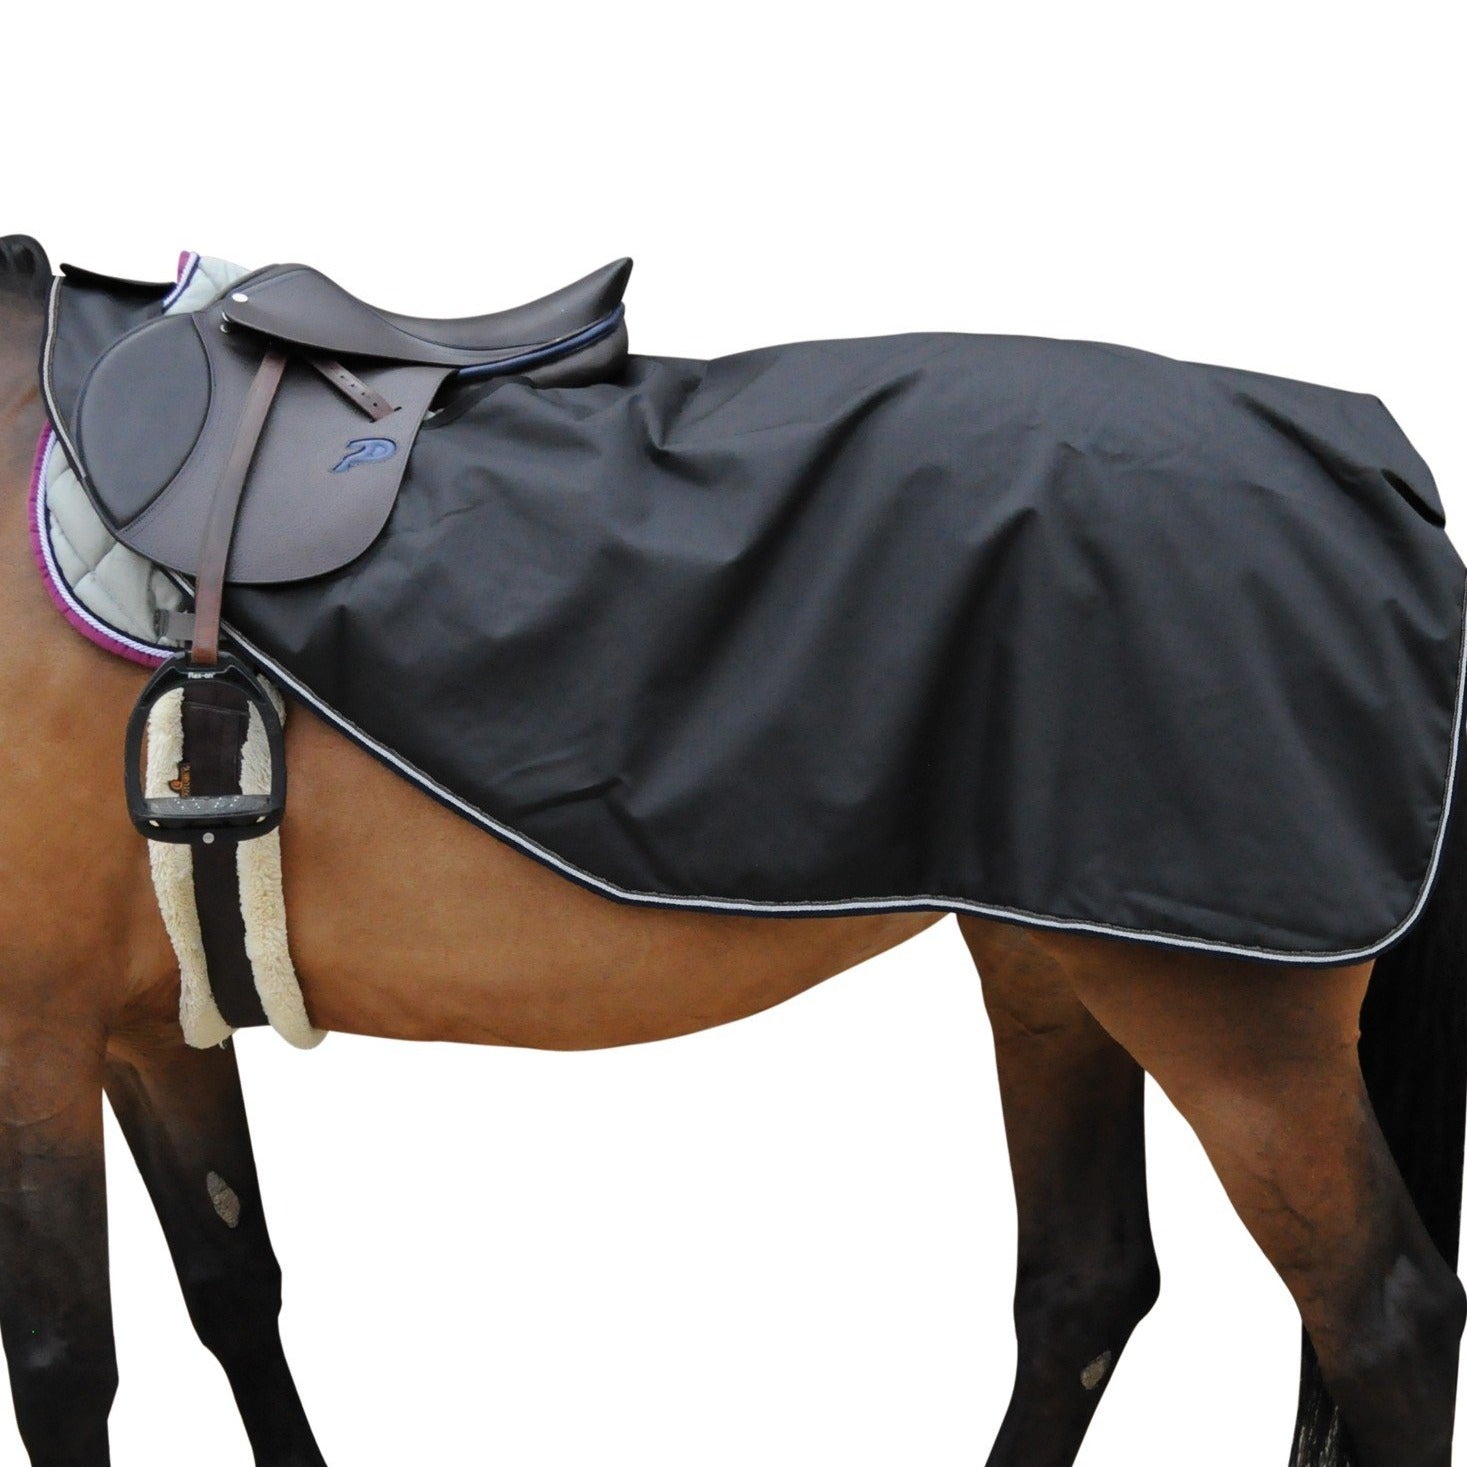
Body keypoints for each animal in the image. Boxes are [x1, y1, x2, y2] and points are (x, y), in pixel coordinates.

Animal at [0, 234, 1462, 1467]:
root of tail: (1386, 469)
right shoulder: (145, 1018)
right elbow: (232, 1288)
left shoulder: (37, 1032)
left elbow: (66, 1365)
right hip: (1058, 968)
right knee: (1085, 1284)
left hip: (1228, 1021)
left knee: (1385, 1319)